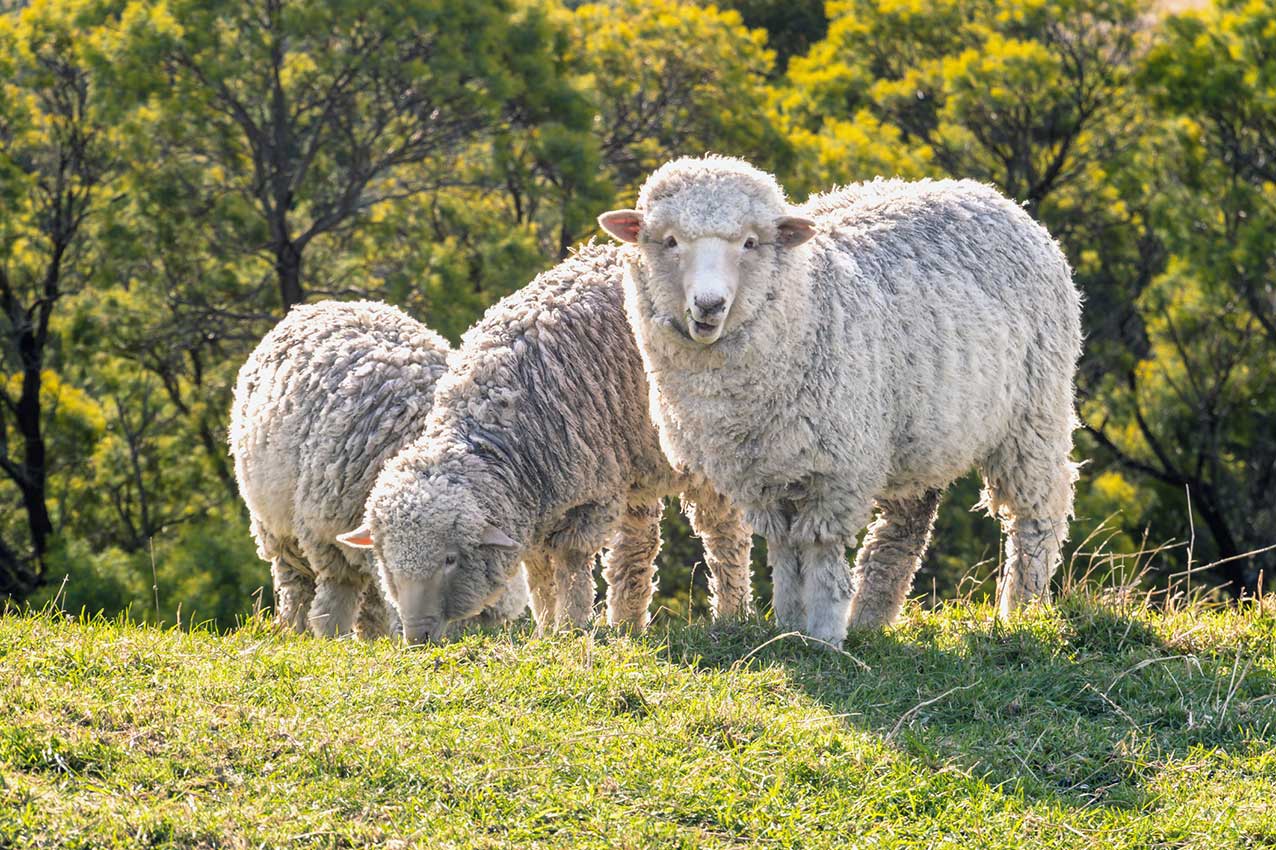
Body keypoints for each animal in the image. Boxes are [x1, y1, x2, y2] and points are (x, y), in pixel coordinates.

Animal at [229, 300, 528, 638]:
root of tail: (315, 305)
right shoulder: (323, 533)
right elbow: (338, 592)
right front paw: (330, 634)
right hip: (275, 525)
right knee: (296, 582)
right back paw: (297, 628)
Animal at [336, 244, 753, 644]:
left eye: (450, 559)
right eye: (388, 561)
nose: (416, 637)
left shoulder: (588, 494)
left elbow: (570, 561)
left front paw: (570, 626)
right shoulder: (536, 504)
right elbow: (539, 571)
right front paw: (545, 628)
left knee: (724, 534)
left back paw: (730, 615)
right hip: (637, 462)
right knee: (638, 545)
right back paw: (627, 625)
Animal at [599, 155, 1082, 648]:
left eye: (750, 243)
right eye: (670, 241)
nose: (709, 305)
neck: (809, 304)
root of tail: (992, 195)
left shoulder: (837, 471)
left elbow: (819, 549)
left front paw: (825, 634)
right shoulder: (761, 476)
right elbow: (783, 548)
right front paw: (789, 624)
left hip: (1034, 411)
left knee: (1037, 513)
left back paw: (1022, 607)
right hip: (915, 430)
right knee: (904, 529)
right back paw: (871, 617)